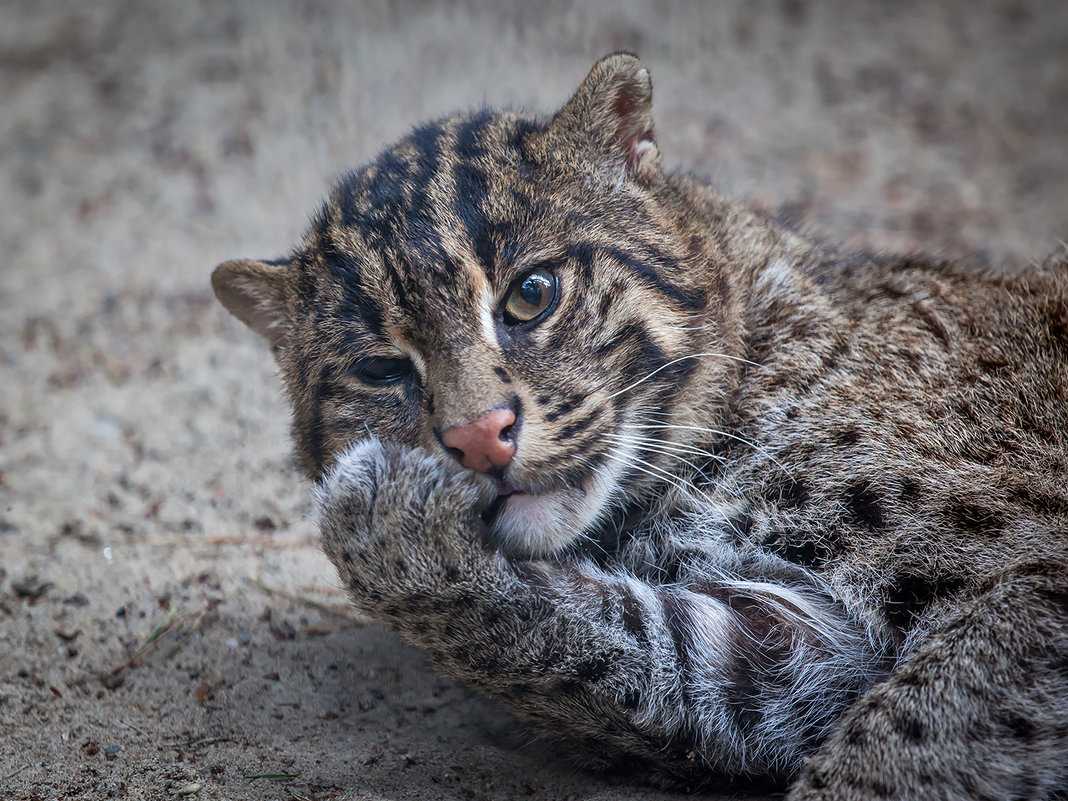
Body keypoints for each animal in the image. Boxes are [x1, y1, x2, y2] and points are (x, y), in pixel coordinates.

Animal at [210, 55, 1068, 798]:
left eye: (532, 294)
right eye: (383, 370)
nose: (479, 436)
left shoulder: (1029, 577)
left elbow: (898, 741)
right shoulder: (795, 650)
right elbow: (613, 652)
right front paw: (382, 520)